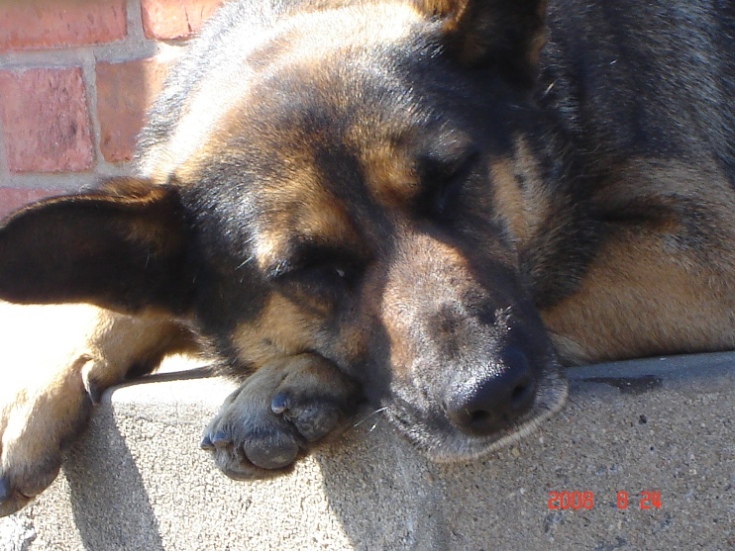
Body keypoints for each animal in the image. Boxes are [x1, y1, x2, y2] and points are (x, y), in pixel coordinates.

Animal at [1, 0, 735, 516]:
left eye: (452, 178)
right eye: (307, 267)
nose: (492, 397)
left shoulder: (705, 250)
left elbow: (555, 281)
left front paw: (287, 379)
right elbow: (108, 310)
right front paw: (27, 405)